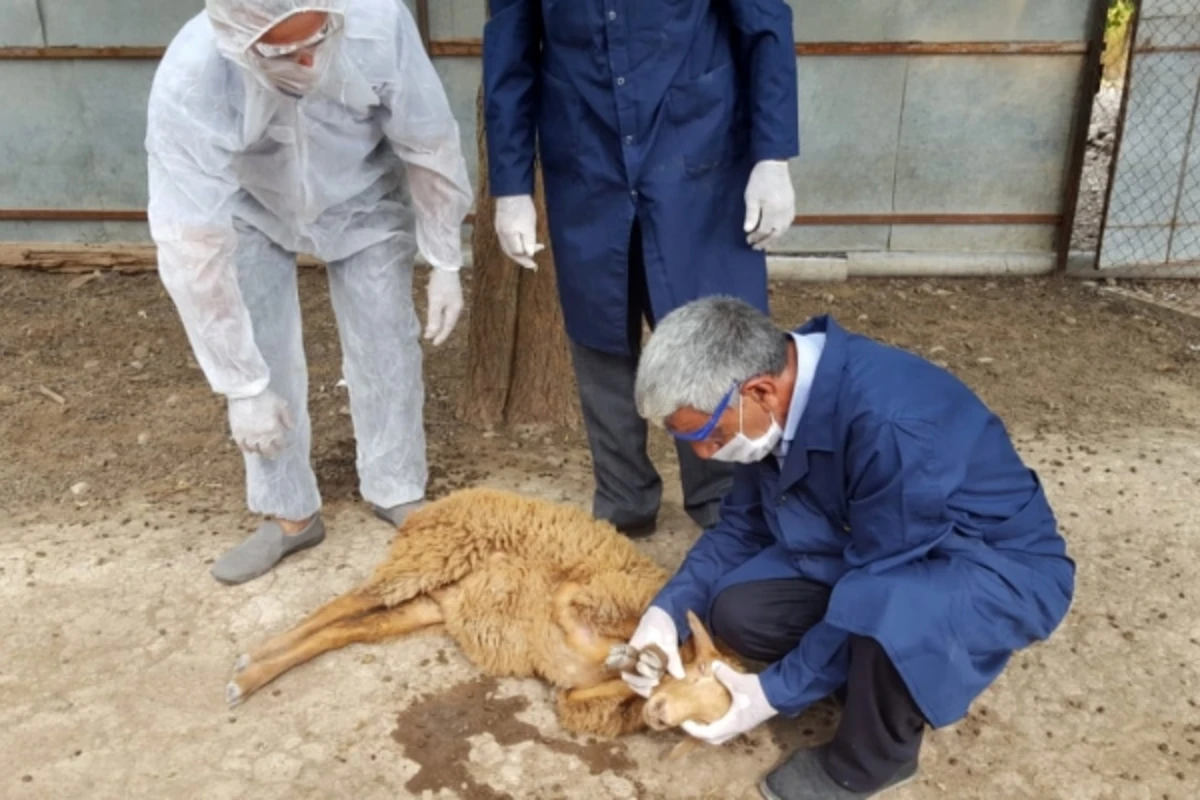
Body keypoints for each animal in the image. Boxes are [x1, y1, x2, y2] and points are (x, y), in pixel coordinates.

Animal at [225, 484, 739, 748]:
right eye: (696, 671)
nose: (659, 715)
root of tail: (442, 503)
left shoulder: (578, 694)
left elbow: (577, 696)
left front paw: (631, 664)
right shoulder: (594, 594)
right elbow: (566, 603)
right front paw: (636, 659)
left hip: (429, 604)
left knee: (351, 628)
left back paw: (252, 673)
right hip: (430, 555)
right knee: (344, 602)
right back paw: (254, 658)